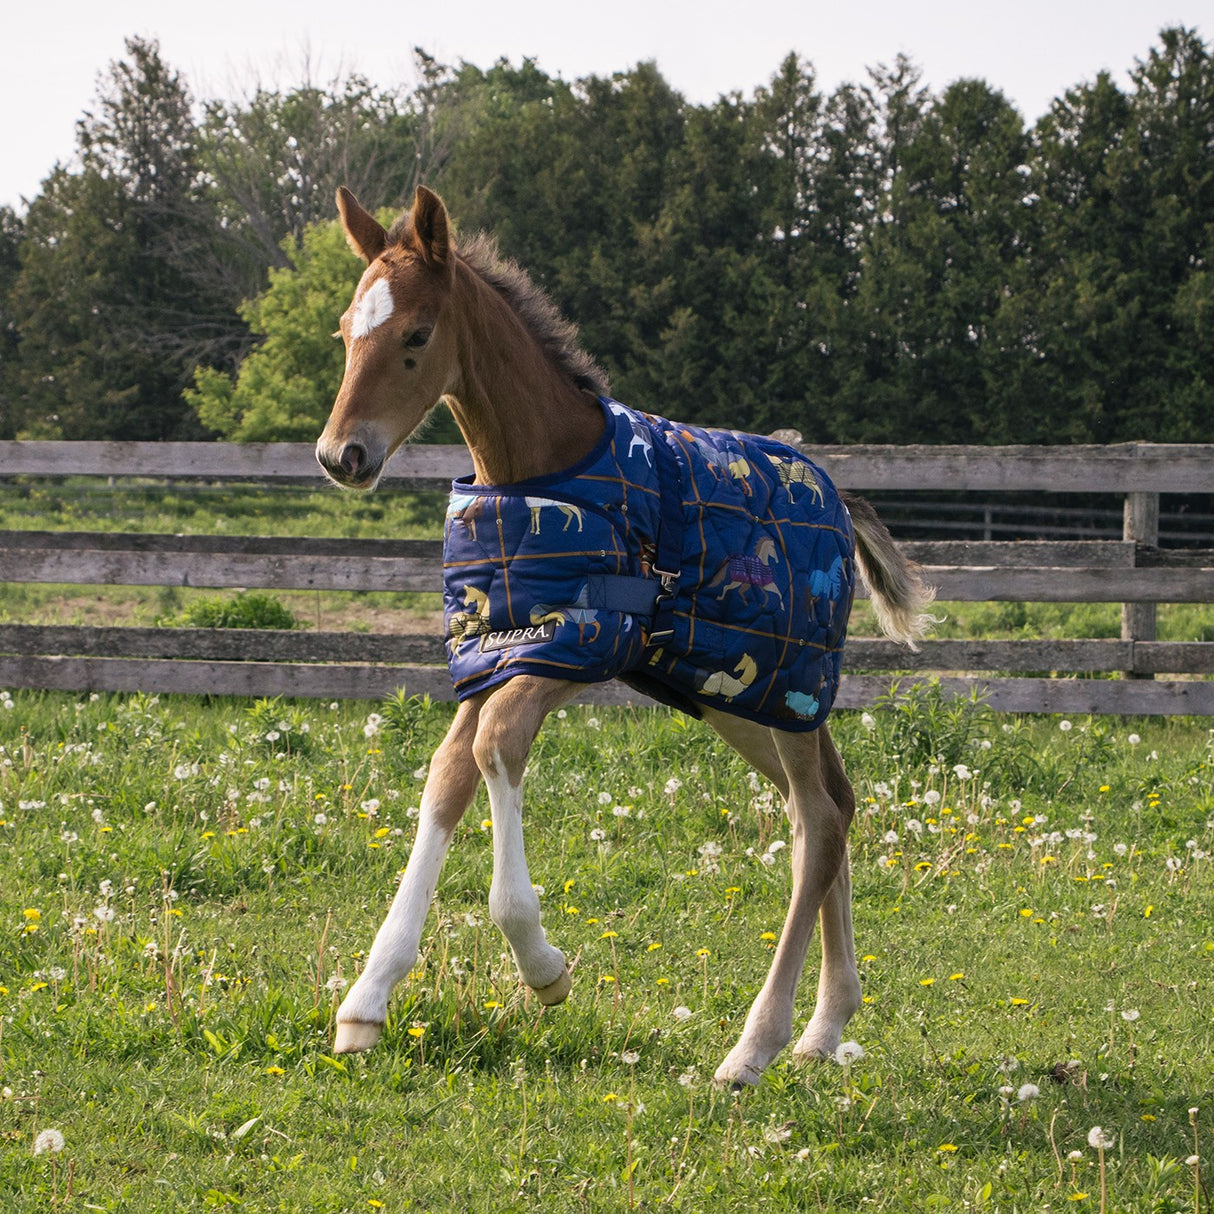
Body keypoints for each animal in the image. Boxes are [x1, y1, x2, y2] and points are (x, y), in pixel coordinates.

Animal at [316, 185, 936, 1088]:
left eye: (417, 335)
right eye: (344, 332)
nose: (342, 455)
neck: (540, 475)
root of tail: (834, 494)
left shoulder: (577, 643)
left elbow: (495, 747)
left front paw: (543, 966)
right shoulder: (497, 650)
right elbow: (448, 774)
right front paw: (368, 998)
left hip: (788, 681)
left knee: (820, 819)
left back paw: (755, 1045)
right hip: (740, 695)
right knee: (828, 806)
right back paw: (826, 1023)